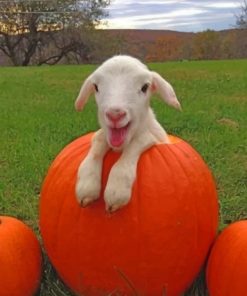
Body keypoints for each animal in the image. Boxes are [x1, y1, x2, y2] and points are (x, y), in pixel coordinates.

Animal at [74, 55, 180, 213]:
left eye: (145, 87)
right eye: (96, 87)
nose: (115, 114)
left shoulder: (151, 137)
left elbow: (138, 141)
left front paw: (117, 190)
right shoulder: (103, 137)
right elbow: (98, 140)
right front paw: (87, 186)